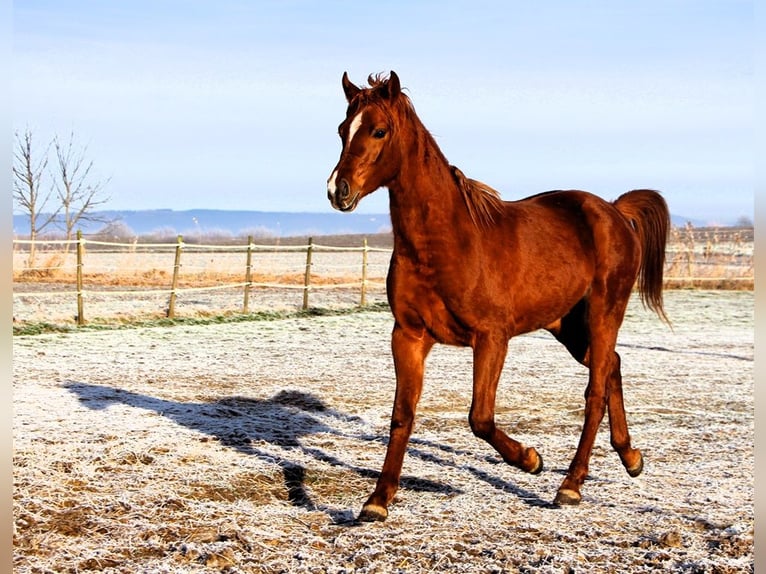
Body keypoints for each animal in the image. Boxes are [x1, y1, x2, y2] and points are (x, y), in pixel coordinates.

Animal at [328, 71, 668, 520]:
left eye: (379, 130)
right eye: (341, 129)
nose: (338, 190)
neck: (446, 242)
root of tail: (613, 211)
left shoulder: (491, 338)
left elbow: (481, 418)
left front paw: (530, 459)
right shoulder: (408, 336)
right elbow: (403, 415)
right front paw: (377, 501)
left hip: (604, 313)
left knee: (595, 390)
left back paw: (570, 485)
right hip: (568, 326)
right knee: (611, 364)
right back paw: (630, 457)